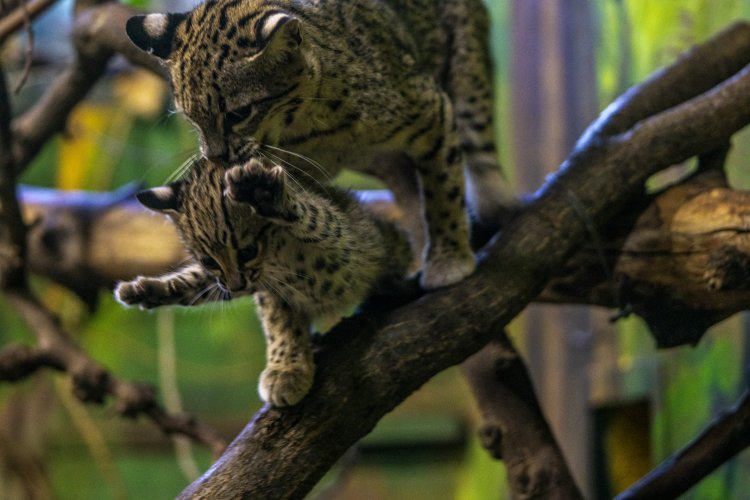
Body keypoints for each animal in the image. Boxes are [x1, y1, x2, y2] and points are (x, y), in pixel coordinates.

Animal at [115, 157, 412, 406]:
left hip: (385, 241)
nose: (236, 286)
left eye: (247, 251)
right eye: (209, 261)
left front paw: (268, 196)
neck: (276, 258)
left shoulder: (344, 245)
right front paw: (148, 290)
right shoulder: (264, 290)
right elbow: (279, 325)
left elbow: (316, 218)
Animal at [125, 0, 507, 290]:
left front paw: (449, 260)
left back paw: (491, 201)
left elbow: (443, 188)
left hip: (467, 66)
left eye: (239, 113)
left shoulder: (430, 108)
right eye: (191, 118)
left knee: (478, 141)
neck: (310, 125)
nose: (215, 156)